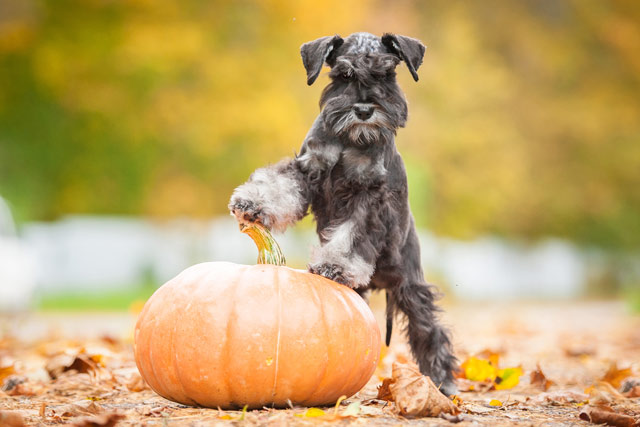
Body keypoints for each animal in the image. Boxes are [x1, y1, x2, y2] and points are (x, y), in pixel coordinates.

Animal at [228, 31, 458, 396]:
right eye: (343, 75)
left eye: (386, 74)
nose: (363, 110)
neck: (350, 140)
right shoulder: (308, 169)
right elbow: (279, 183)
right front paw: (252, 202)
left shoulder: (368, 197)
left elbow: (351, 234)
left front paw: (334, 264)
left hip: (409, 284)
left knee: (428, 328)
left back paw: (442, 380)